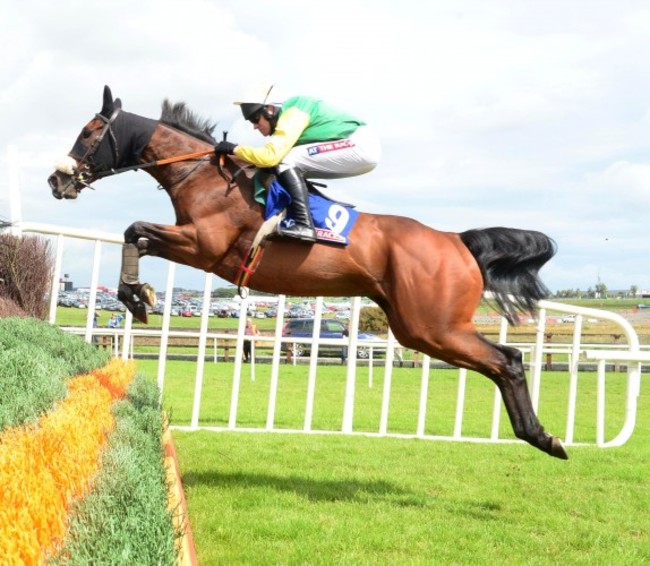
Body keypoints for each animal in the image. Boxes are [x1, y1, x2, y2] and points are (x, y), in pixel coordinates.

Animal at [48, 85, 564, 462]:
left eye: (89, 132)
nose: (57, 179)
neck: (204, 177)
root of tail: (457, 240)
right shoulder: (191, 243)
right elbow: (134, 234)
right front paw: (137, 295)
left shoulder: (204, 246)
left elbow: (134, 228)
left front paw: (137, 296)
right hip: (417, 326)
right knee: (502, 361)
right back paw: (540, 436)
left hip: (433, 325)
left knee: (508, 360)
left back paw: (542, 437)